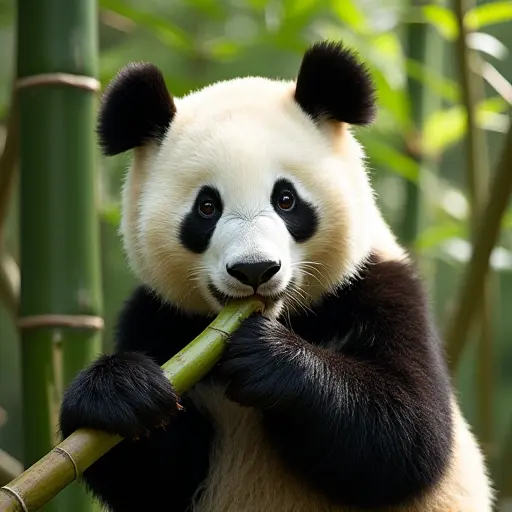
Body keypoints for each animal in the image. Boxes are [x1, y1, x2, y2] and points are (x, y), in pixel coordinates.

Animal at [58, 41, 494, 512]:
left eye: (286, 199)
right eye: (207, 208)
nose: (254, 269)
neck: (285, 317)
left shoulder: (380, 287)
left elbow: (408, 435)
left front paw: (268, 356)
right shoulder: (160, 317)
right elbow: (148, 478)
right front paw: (122, 390)